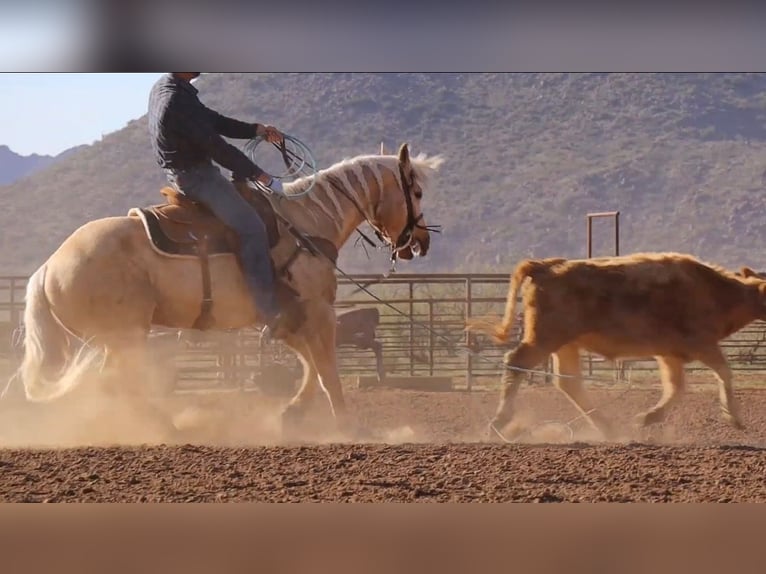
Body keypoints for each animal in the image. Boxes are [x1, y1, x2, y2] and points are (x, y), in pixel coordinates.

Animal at [9, 142, 443, 440]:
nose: (421, 243)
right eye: (417, 193)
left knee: (115, 385)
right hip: (125, 335)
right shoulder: (317, 309)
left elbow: (309, 366)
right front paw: (348, 426)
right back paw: (168, 428)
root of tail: (48, 267)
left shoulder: (287, 316)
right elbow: (327, 371)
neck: (306, 223)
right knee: (119, 383)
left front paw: (290, 415)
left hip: (117, 338)